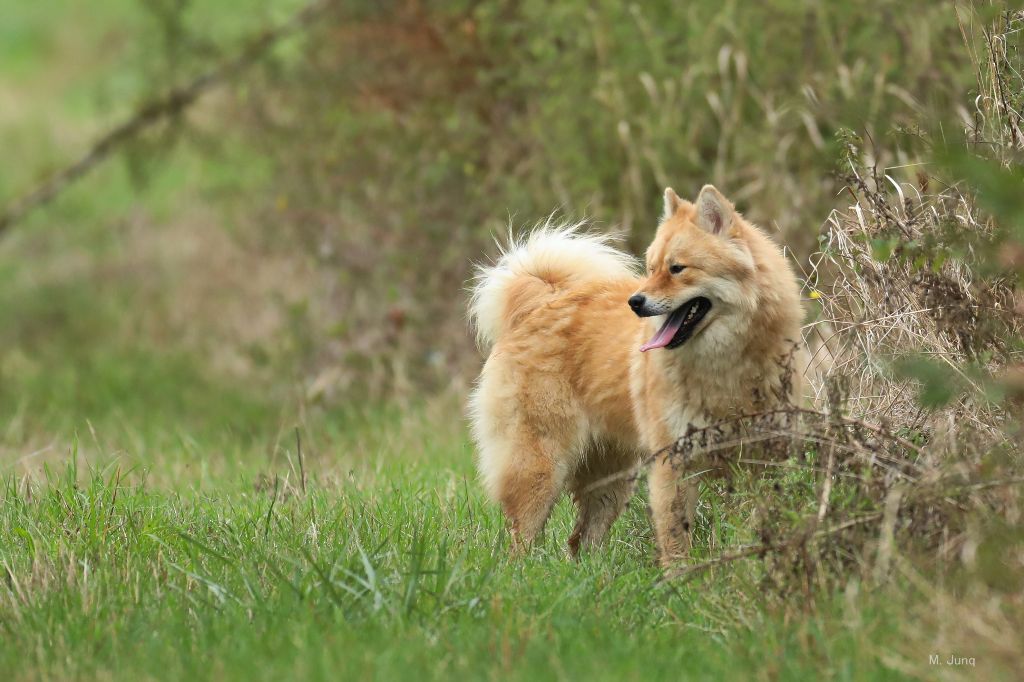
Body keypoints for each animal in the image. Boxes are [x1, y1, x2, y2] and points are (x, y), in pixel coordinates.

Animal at [468, 183, 802, 561]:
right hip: (540, 467)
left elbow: (757, 522)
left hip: (611, 478)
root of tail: (542, 301)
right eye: (652, 267)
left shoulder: (760, 459)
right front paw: (682, 575)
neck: (723, 366)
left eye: (676, 269)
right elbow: (676, 538)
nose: (635, 301)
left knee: (582, 539)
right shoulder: (673, 461)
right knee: (519, 541)